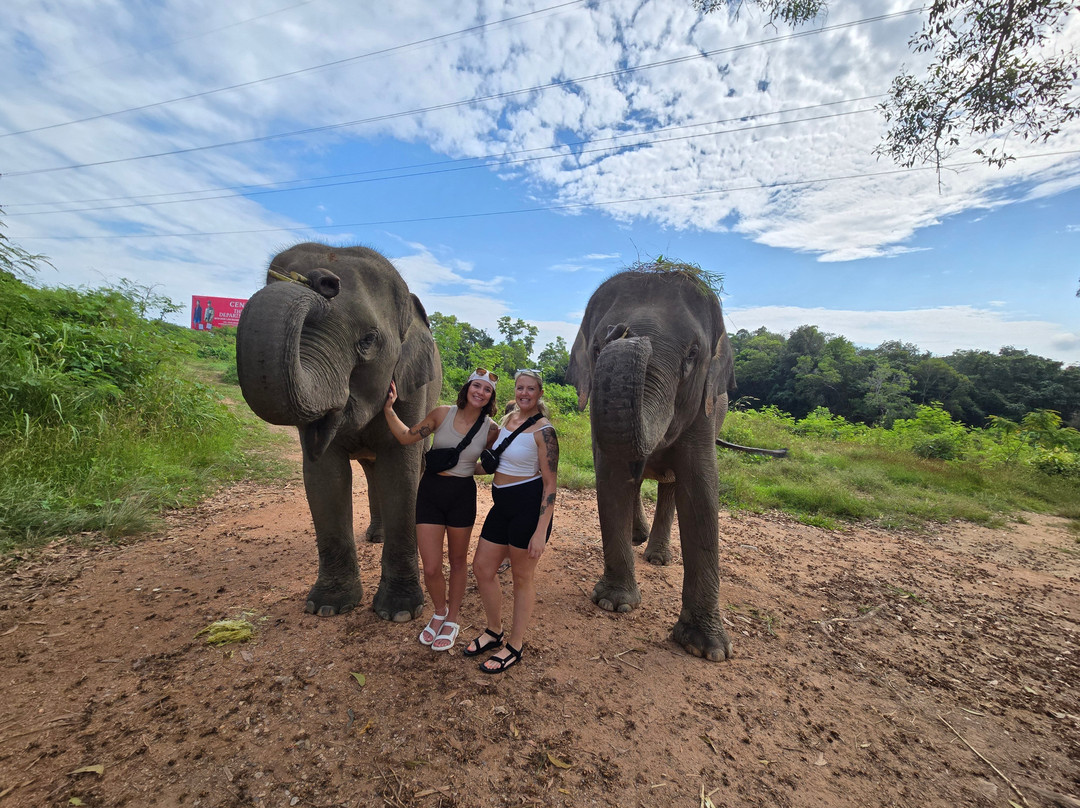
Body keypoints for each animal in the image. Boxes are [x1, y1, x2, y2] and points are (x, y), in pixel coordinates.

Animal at [236, 243, 441, 622]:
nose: (322, 280)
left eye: (369, 340)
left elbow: (401, 471)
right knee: (371, 471)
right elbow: (324, 476)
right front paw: (327, 607)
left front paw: (400, 613)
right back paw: (375, 536)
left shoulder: (413, 389)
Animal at [566, 266, 735, 661]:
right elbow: (612, 478)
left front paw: (708, 649)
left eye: (693, 353)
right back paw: (637, 538)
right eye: (596, 348)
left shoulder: (703, 415)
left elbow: (701, 491)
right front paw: (614, 604)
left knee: (670, 485)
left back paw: (658, 557)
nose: (621, 332)